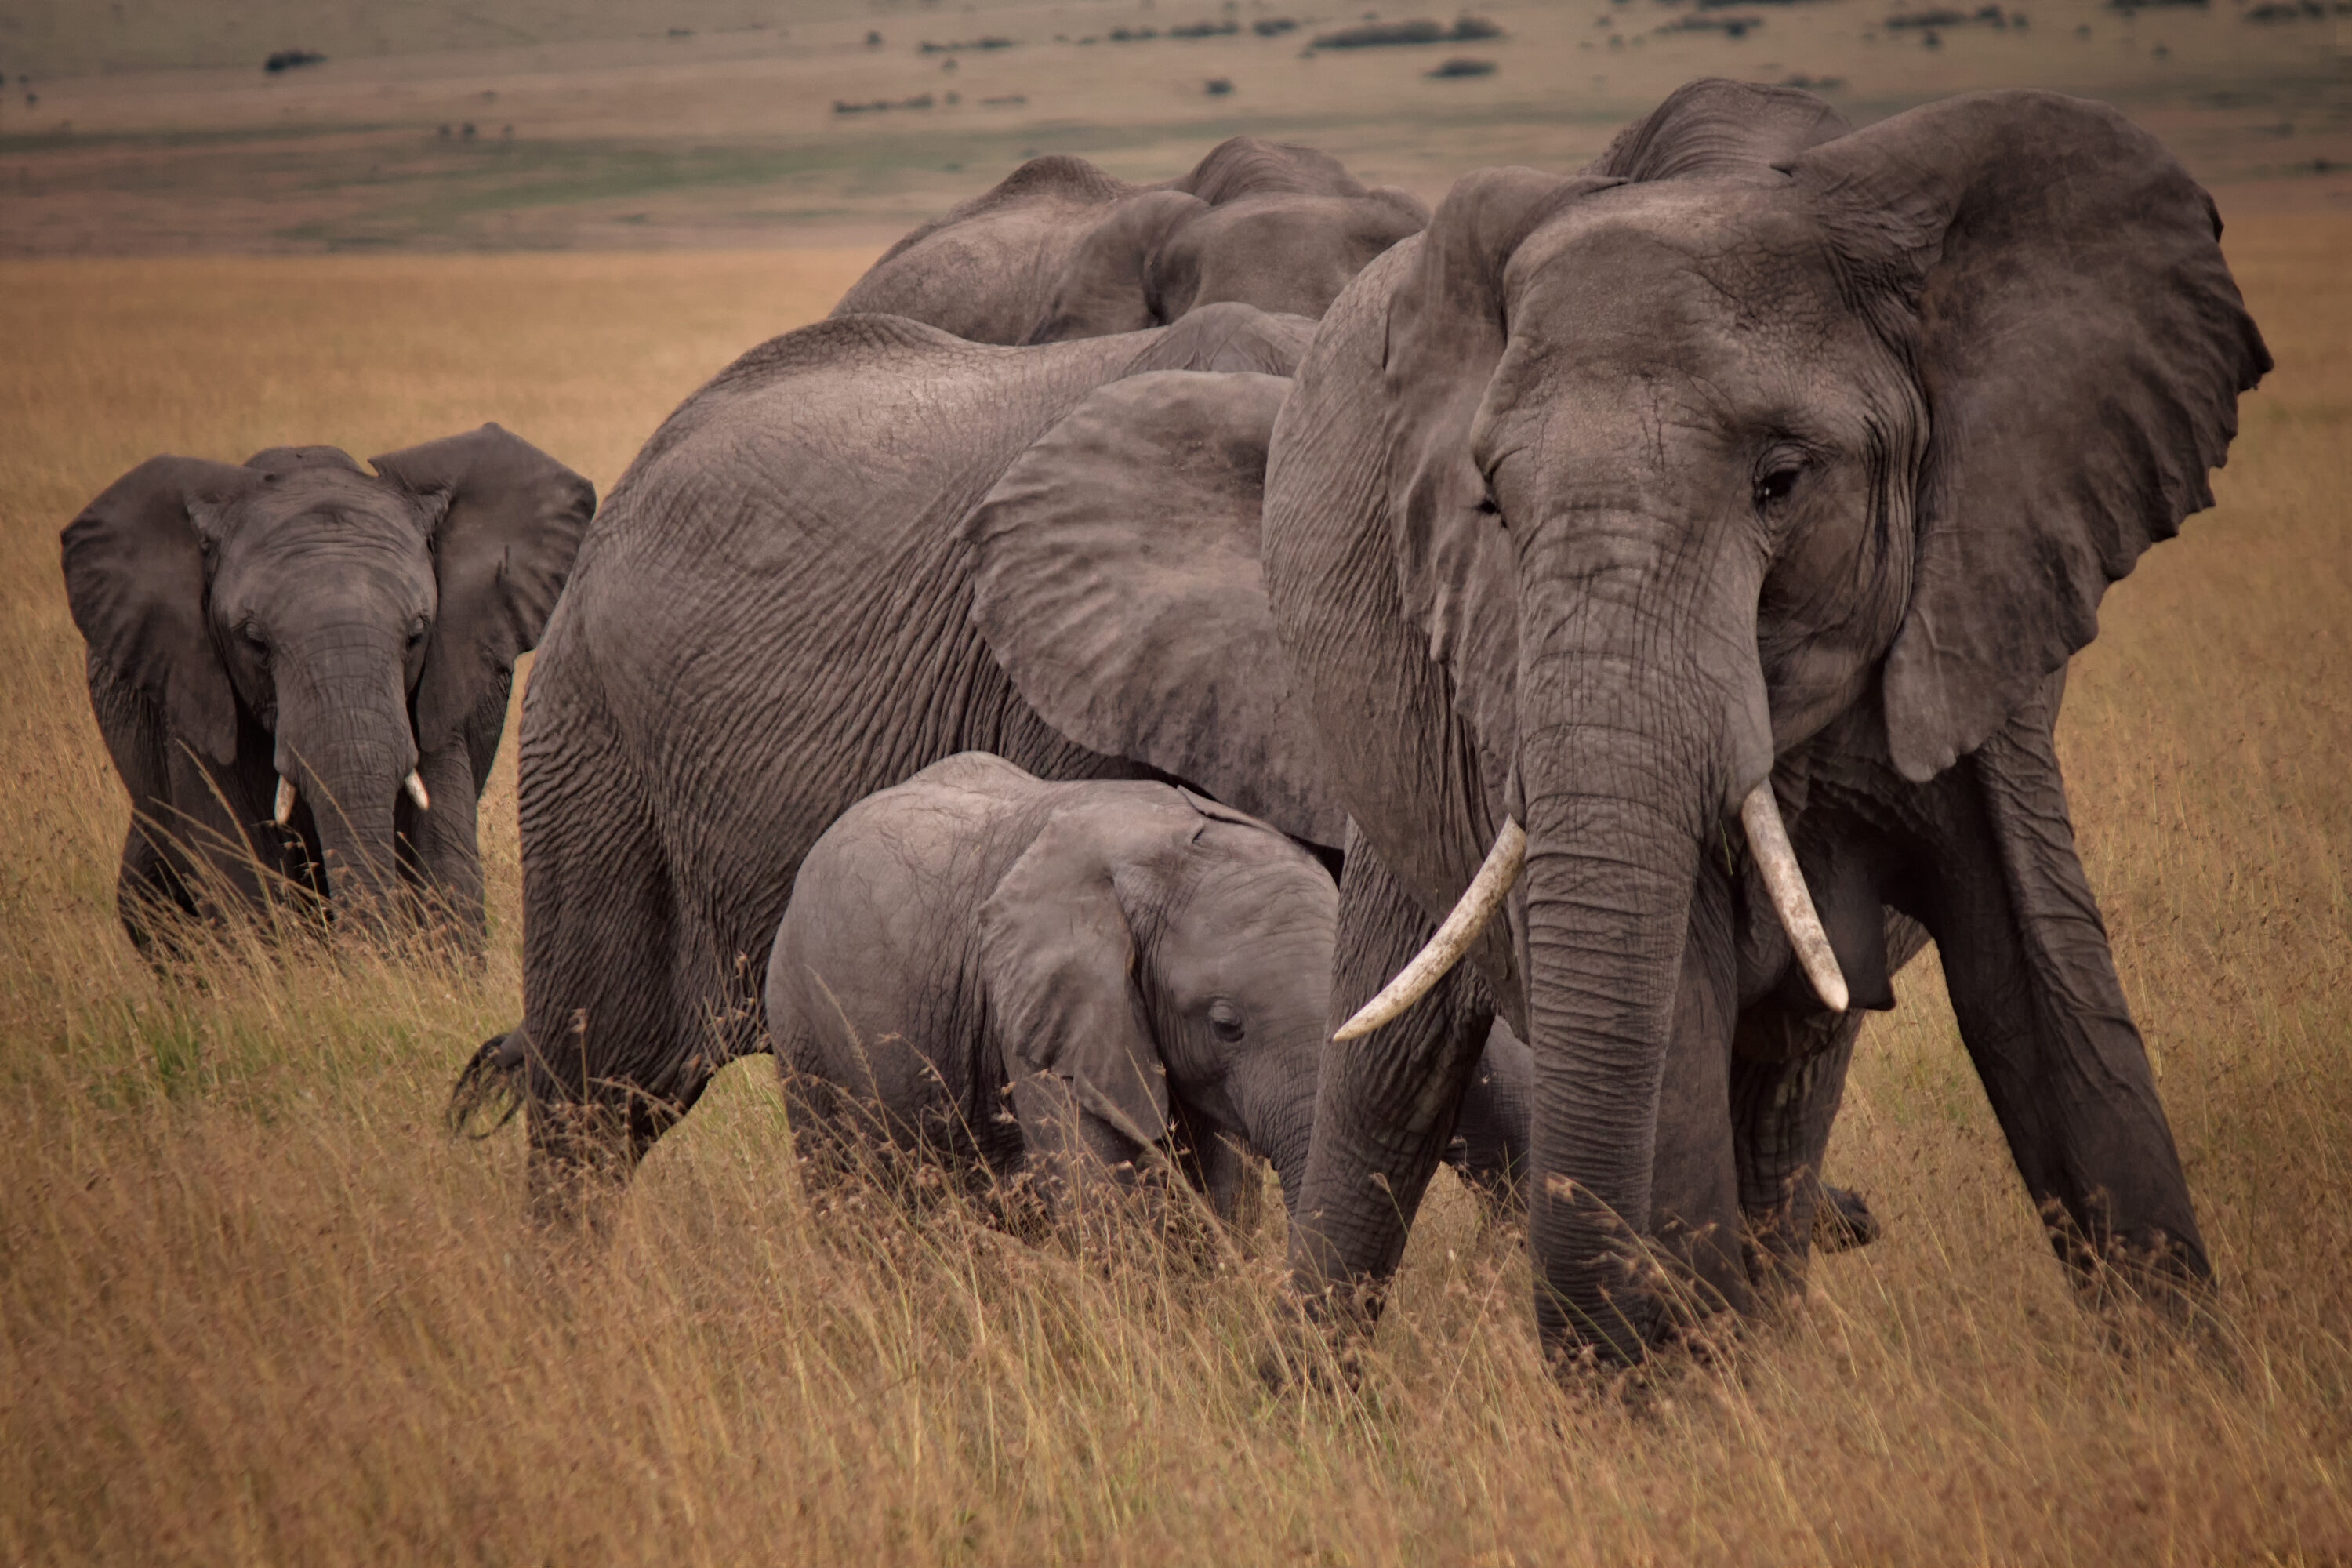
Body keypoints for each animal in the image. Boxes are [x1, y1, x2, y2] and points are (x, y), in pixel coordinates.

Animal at [62, 426, 593, 950]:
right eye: (254, 641)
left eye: (417, 635)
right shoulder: (191, 687)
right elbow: (236, 871)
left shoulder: (445, 683)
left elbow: (442, 860)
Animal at [1253, 80, 2270, 1362]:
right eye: (1493, 505)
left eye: (1781, 482)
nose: (1867, 1222)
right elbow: (1673, 1014)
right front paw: (1696, 1387)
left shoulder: (1985, 591)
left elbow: (2045, 987)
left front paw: (2194, 1373)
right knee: (1389, 1072)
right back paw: (1309, 1383)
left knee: (1793, 1078)